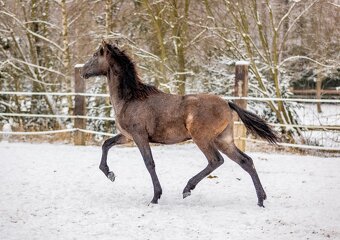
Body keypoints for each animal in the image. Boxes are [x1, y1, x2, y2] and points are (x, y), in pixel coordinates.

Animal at [82, 39, 278, 206]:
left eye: (95, 55)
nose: (83, 71)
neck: (130, 99)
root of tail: (227, 103)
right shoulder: (127, 136)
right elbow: (106, 144)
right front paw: (109, 174)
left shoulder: (139, 136)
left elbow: (149, 163)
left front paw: (155, 197)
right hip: (224, 140)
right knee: (246, 161)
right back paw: (261, 200)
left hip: (202, 138)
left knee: (216, 160)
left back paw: (187, 188)